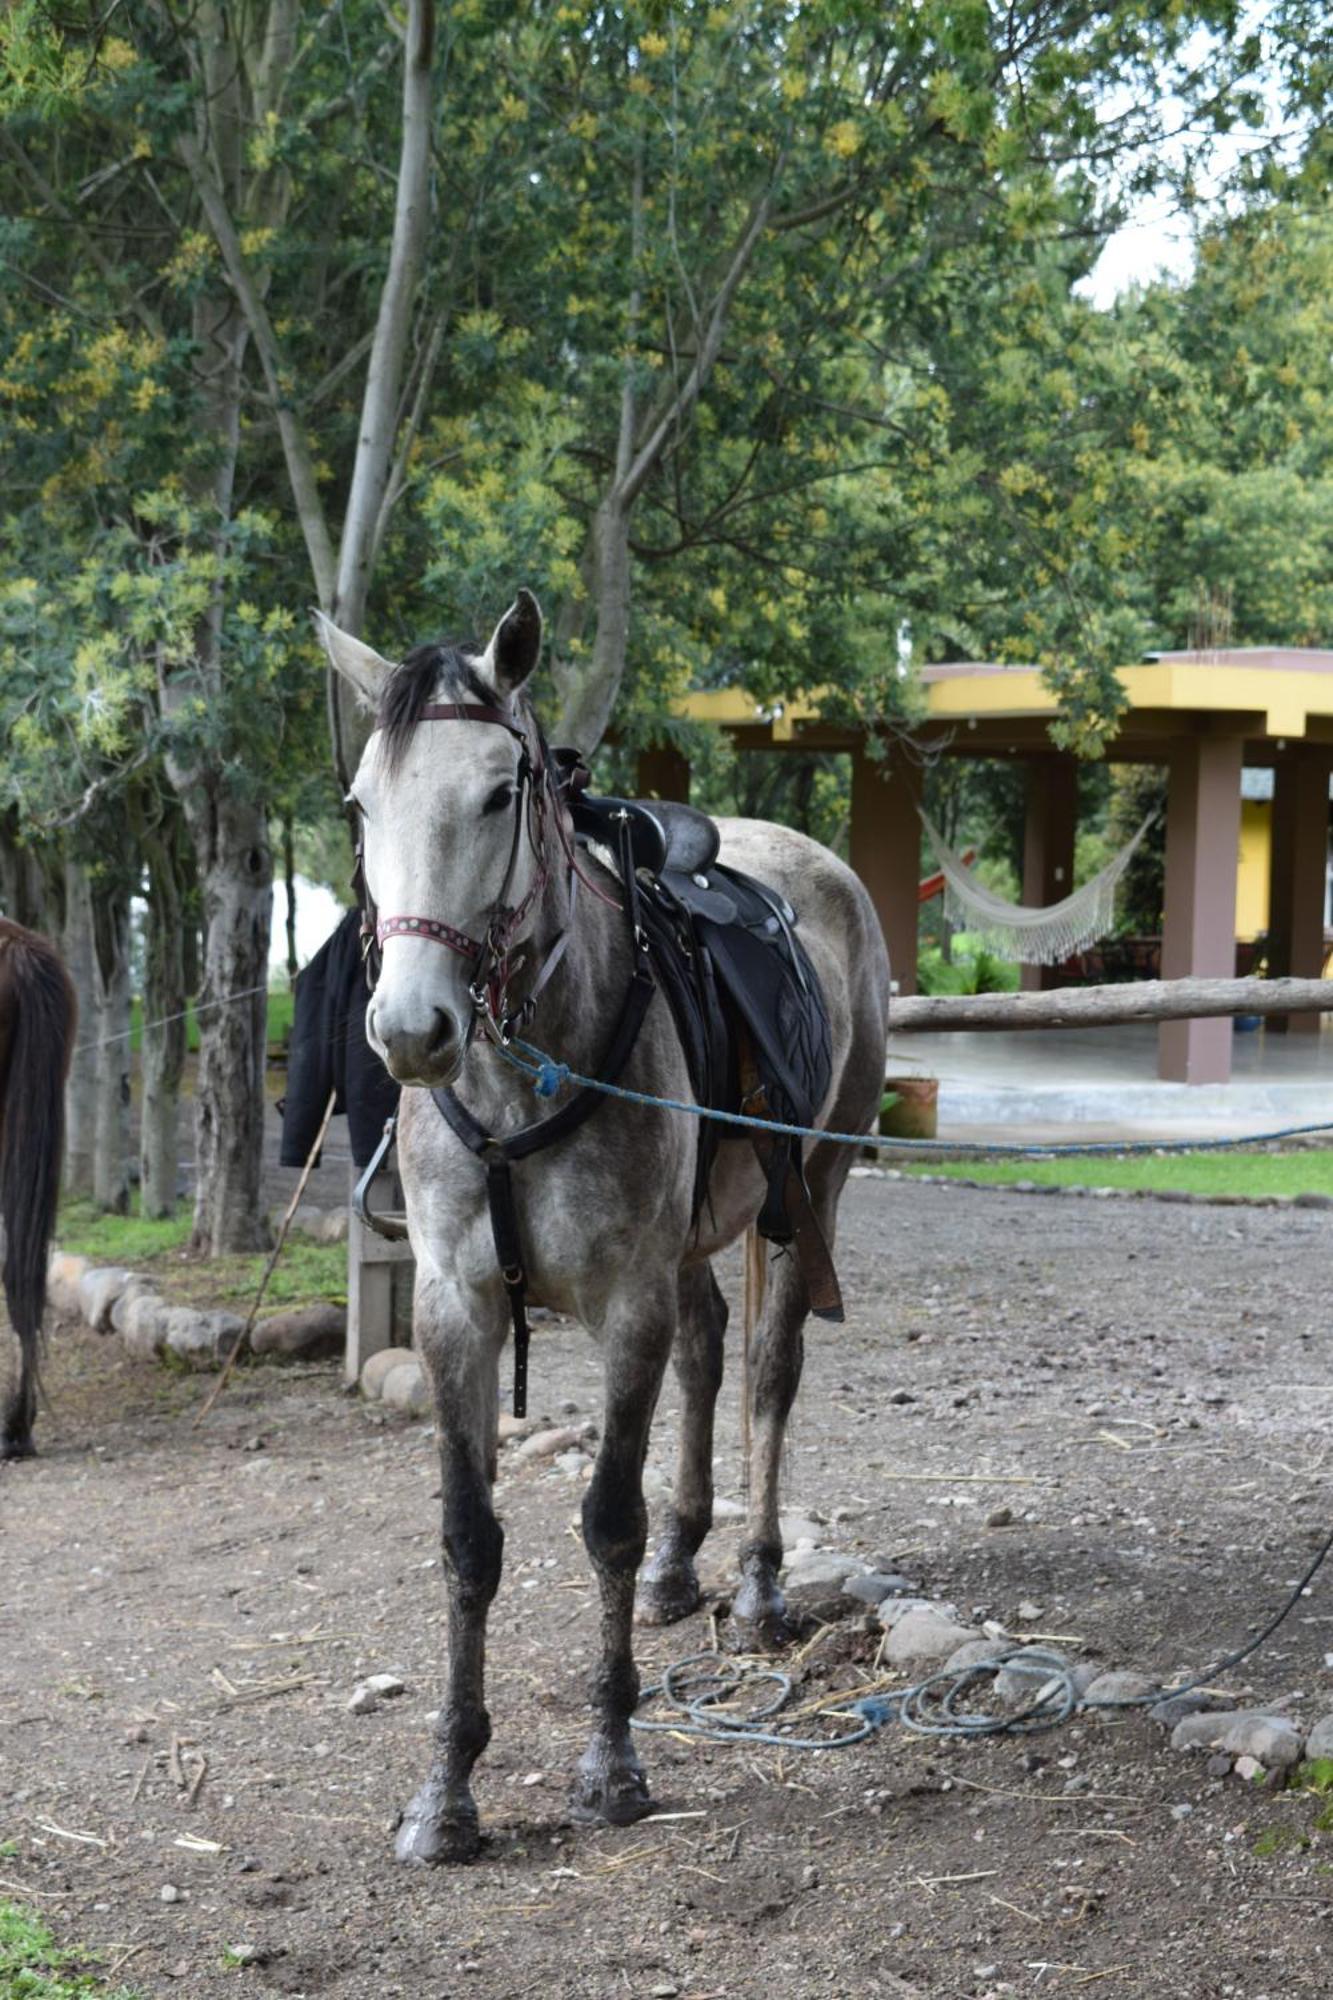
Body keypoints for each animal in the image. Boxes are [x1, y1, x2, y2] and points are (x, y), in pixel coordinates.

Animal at [316, 588, 888, 1856]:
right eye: (362, 803)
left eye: (497, 791)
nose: (412, 1028)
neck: (520, 1073)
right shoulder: (456, 1309)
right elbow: (468, 1539)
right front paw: (447, 1789)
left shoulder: (625, 1302)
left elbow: (606, 1519)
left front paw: (612, 1760)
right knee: (710, 1345)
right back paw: (683, 1564)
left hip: (811, 1190)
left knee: (765, 1369)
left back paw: (758, 1580)